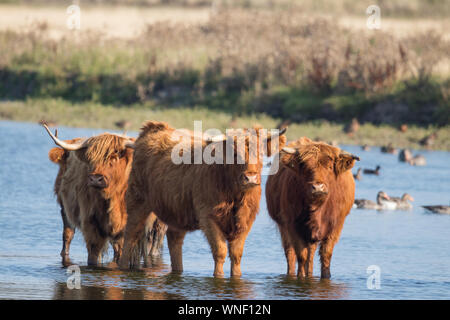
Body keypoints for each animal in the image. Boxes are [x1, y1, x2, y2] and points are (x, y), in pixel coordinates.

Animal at [40, 121, 165, 266]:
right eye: (91, 159)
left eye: (114, 157)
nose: (95, 178)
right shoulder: (90, 222)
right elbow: (94, 254)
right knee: (68, 235)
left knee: (153, 243)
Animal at [119, 121, 286, 276]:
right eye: (234, 154)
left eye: (261, 153)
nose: (250, 178)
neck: (235, 195)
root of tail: (154, 127)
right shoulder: (208, 217)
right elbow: (220, 251)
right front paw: (218, 276)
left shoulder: (246, 220)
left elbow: (236, 254)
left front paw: (237, 276)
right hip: (137, 200)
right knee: (130, 235)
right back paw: (123, 267)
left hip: (176, 210)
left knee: (174, 240)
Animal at [268, 136, 358, 278]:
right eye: (306, 167)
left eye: (329, 167)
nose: (318, 187)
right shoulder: (292, 226)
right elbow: (301, 256)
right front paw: (301, 277)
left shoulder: (335, 227)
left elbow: (326, 255)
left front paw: (326, 276)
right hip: (284, 227)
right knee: (290, 254)